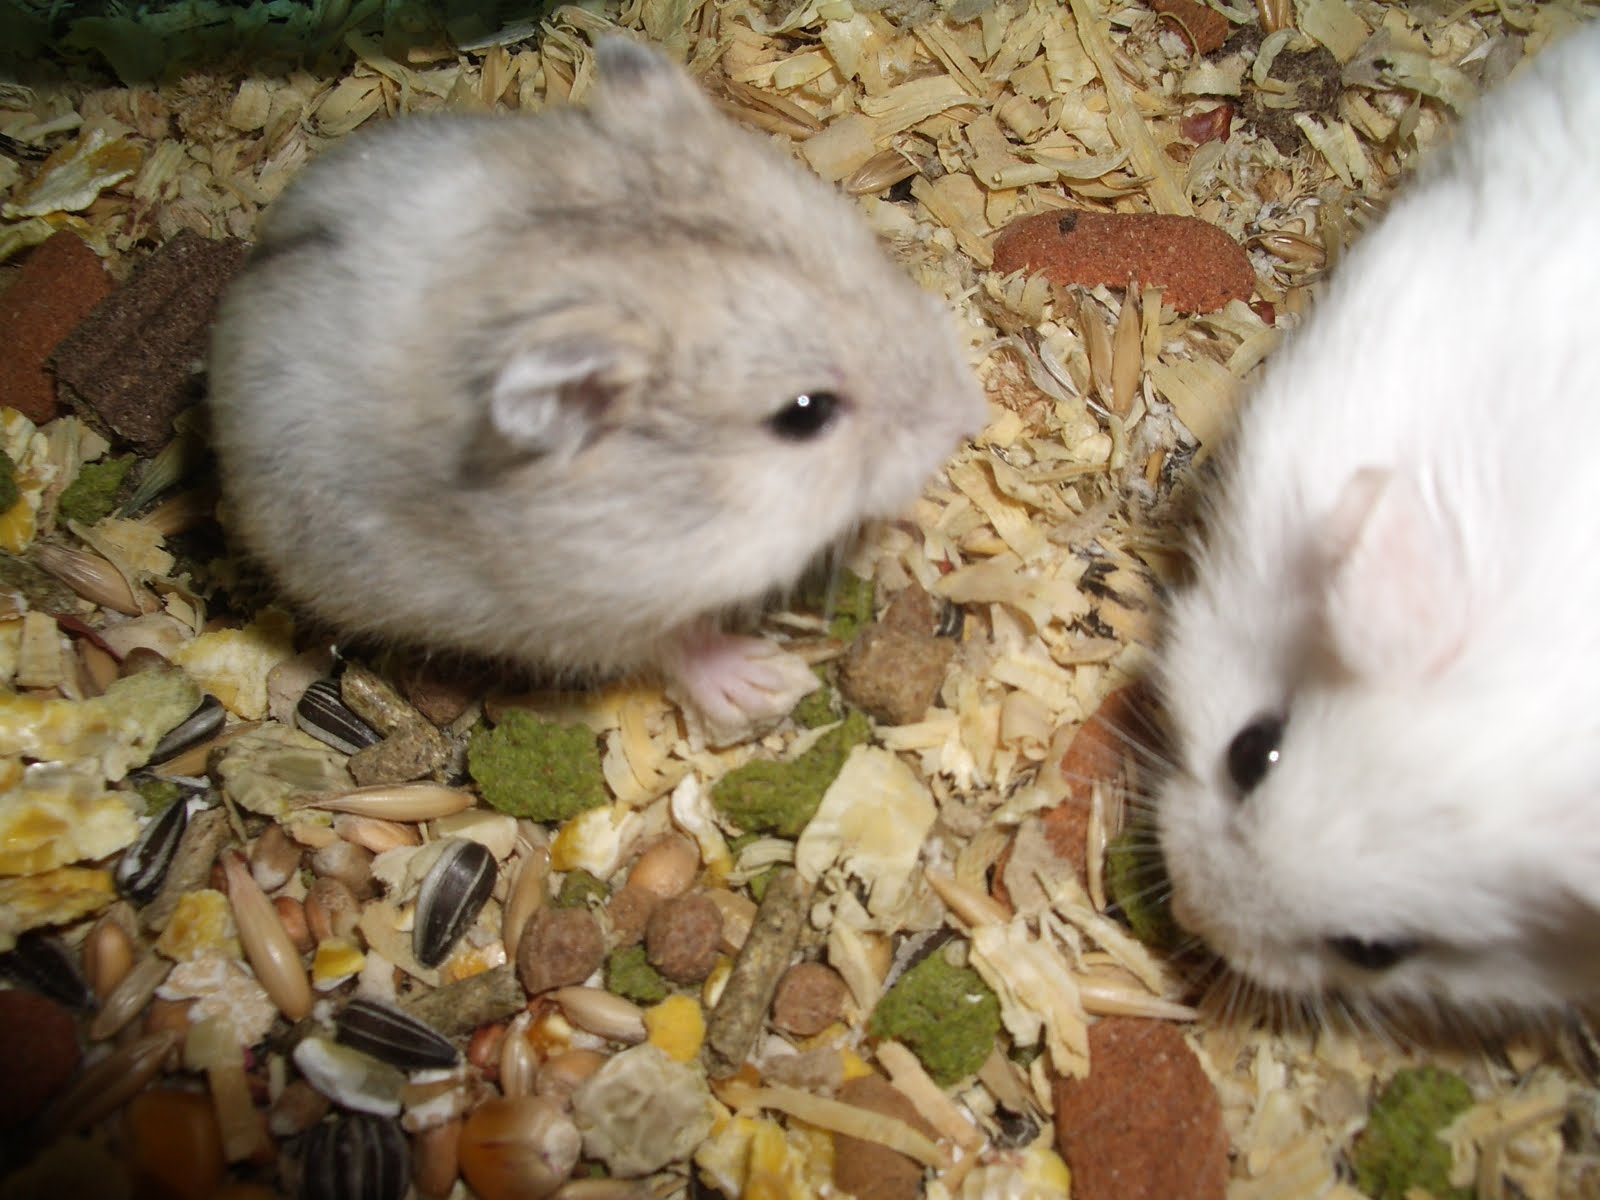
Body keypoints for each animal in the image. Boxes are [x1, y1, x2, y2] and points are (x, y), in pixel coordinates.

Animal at [207, 38, 983, 736]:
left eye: (863, 247)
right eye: (805, 414)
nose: (969, 415)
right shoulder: (589, 614)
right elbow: (677, 643)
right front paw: (766, 681)